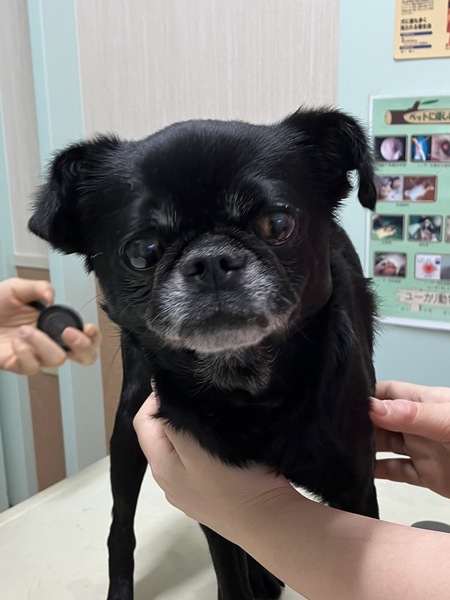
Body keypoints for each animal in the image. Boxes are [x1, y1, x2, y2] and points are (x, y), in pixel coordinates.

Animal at [29, 107, 379, 600]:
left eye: (278, 225)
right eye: (142, 251)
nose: (210, 260)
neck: (248, 387)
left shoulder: (356, 491)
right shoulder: (216, 501)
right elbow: (229, 572)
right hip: (127, 430)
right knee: (120, 528)